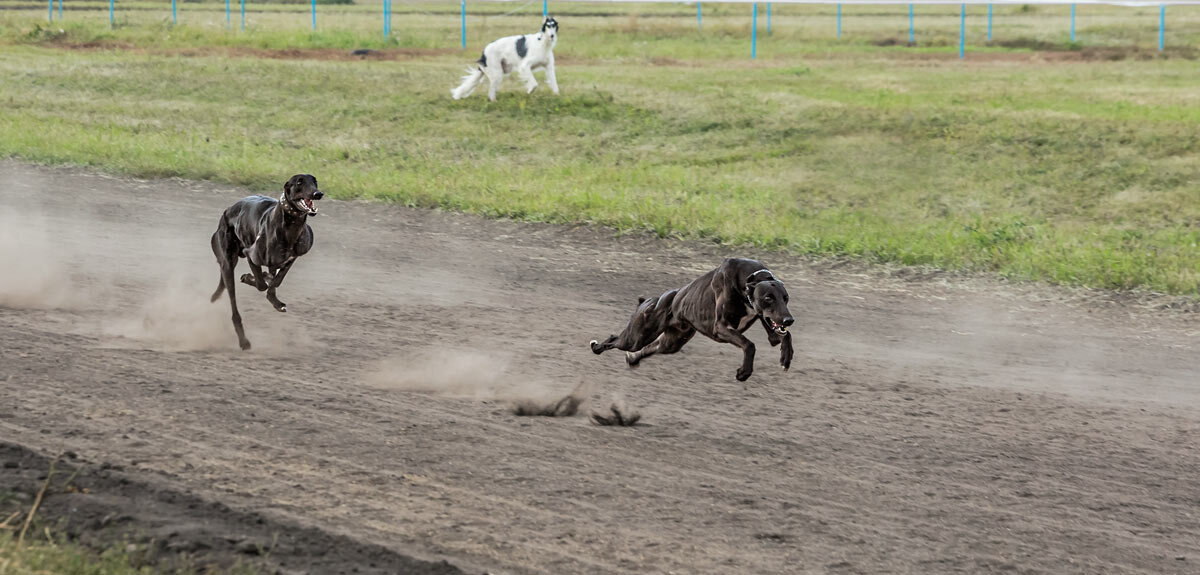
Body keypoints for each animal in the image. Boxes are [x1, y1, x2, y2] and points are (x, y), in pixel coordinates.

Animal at [211, 172, 321, 350]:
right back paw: (243, 341)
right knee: (234, 307)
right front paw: (250, 278)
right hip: (228, 263)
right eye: (299, 182)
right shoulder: (251, 255)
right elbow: (262, 285)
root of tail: (227, 210)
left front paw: (276, 302)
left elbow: (276, 282)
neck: (290, 227)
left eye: (315, 181)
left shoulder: (290, 259)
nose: (318, 194)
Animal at [590, 259, 796, 379]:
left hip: (671, 342)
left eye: (786, 298)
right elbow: (749, 345)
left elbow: (784, 336)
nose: (789, 320)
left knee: (649, 348)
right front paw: (744, 372)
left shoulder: (768, 322)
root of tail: (650, 301)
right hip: (636, 336)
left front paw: (786, 358)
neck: (748, 279)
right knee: (614, 340)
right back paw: (597, 347)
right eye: (768, 298)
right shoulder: (721, 328)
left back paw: (632, 359)